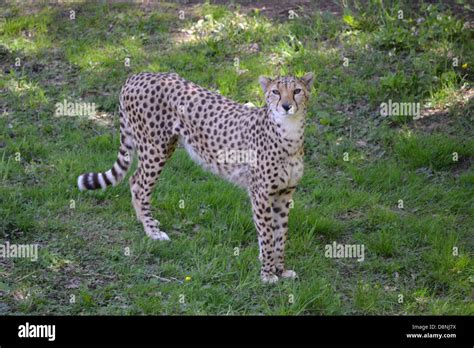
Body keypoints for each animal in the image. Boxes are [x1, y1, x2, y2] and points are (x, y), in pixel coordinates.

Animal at [78, 71, 314, 282]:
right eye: (275, 91)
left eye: (297, 91)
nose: (286, 106)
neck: (289, 133)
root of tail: (138, 75)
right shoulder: (261, 194)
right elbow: (266, 236)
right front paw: (267, 274)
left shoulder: (284, 194)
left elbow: (280, 235)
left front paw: (281, 270)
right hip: (155, 149)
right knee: (138, 185)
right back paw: (152, 231)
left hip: (165, 146)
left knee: (134, 179)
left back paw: (146, 221)